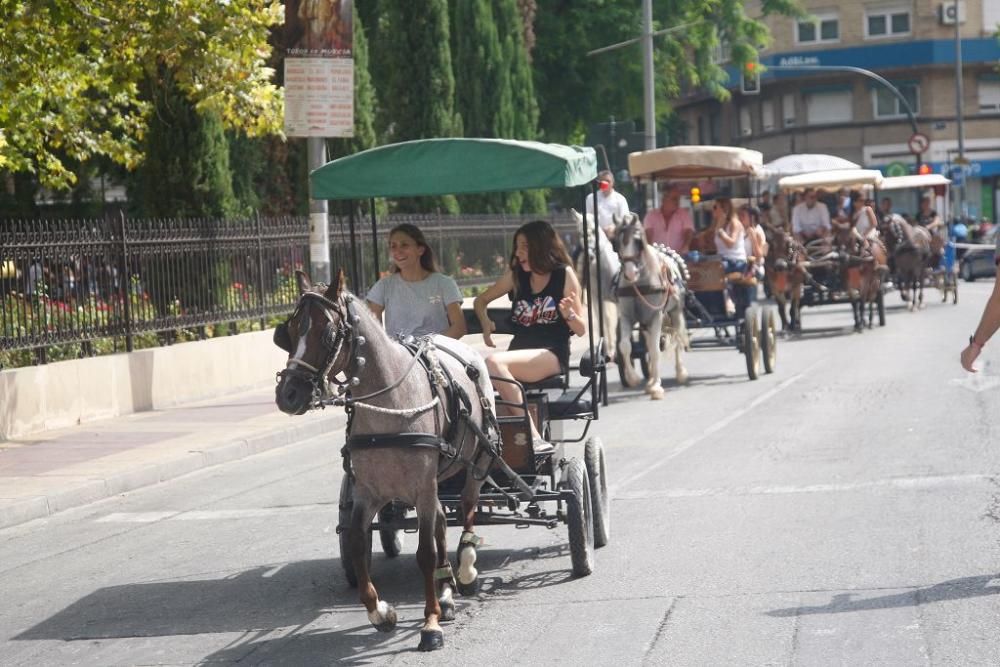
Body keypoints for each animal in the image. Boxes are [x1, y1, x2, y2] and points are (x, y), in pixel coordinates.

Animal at [274, 272, 496, 652]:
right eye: (289, 331)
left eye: (327, 334)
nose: (288, 395)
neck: (392, 405)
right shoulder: (368, 491)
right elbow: (356, 543)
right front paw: (381, 612)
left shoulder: (422, 487)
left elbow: (424, 554)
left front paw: (430, 623)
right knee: (440, 522)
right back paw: (446, 590)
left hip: (475, 462)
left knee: (467, 507)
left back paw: (465, 568)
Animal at [608, 214, 688, 400]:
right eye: (615, 242)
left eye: (638, 241)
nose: (630, 273)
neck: (639, 283)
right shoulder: (627, 317)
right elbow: (625, 346)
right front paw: (633, 379)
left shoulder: (656, 316)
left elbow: (655, 350)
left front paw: (657, 387)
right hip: (645, 324)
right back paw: (650, 379)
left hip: (675, 311)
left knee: (677, 338)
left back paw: (680, 372)